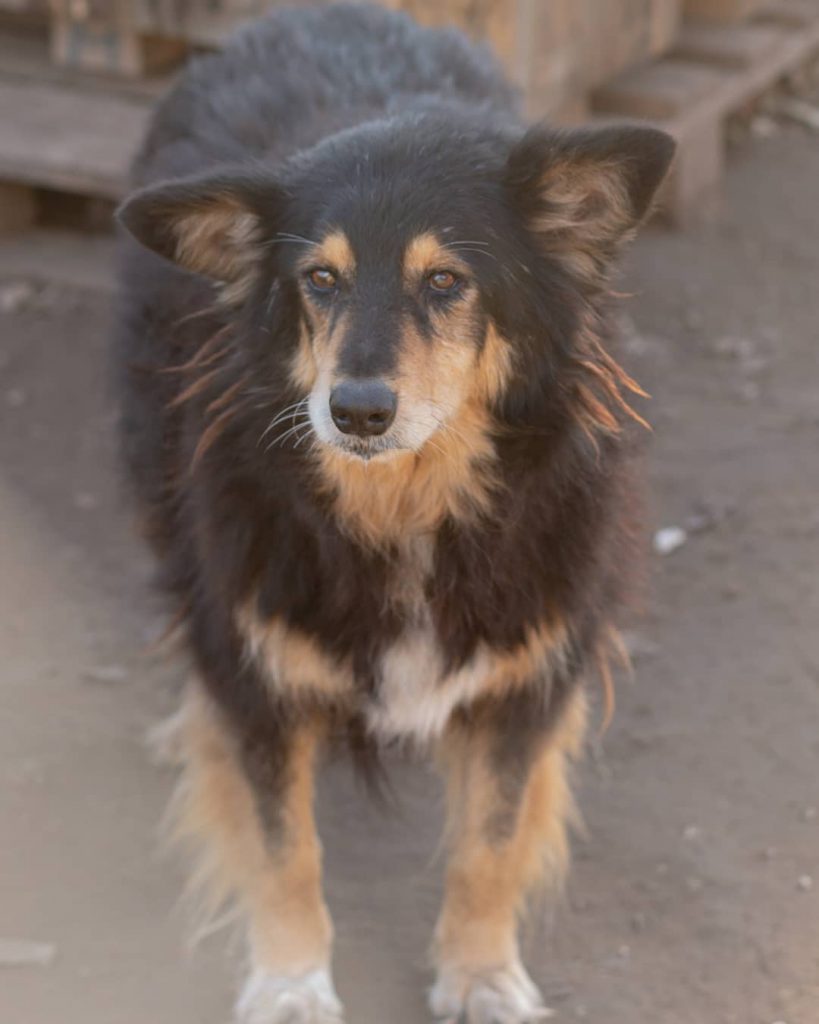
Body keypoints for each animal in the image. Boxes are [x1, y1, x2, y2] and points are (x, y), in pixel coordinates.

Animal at [113, 4, 674, 1021]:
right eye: (320, 281)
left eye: (445, 281)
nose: (356, 412)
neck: (406, 509)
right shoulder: (260, 663)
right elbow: (282, 846)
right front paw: (290, 980)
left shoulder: (527, 672)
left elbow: (491, 842)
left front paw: (480, 973)